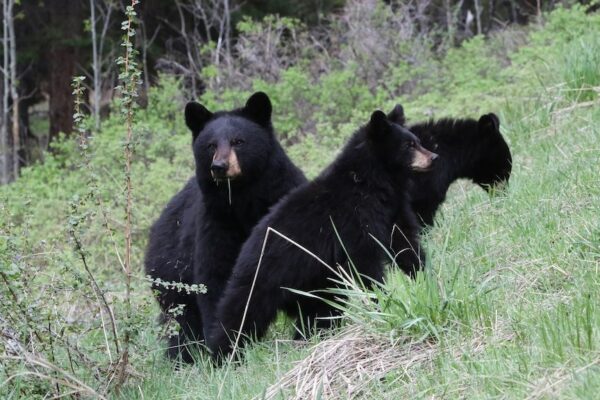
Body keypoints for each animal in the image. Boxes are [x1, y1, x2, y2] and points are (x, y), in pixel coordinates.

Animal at [144, 91, 308, 362]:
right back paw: (183, 357)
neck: (243, 200)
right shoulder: (216, 221)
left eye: (238, 141)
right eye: (210, 145)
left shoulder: (283, 204)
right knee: (183, 322)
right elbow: (216, 276)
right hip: (170, 271)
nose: (219, 167)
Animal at [205, 110, 436, 360]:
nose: (434, 157)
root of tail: (245, 249)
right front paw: (381, 301)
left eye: (418, 141)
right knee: (240, 313)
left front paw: (425, 278)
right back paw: (222, 356)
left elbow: (406, 244)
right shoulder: (354, 220)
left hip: (315, 284)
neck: (374, 182)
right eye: (409, 145)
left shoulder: (393, 210)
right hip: (263, 278)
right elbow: (366, 262)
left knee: (320, 310)